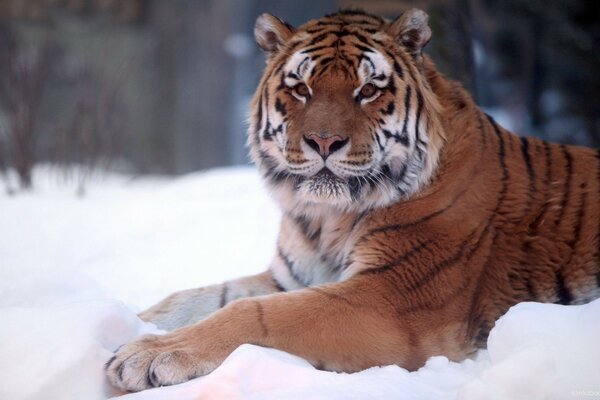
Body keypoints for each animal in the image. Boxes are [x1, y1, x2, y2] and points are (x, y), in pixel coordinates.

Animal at [104, 7, 600, 392]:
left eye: (369, 90)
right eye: (300, 88)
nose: (324, 141)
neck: (325, 219)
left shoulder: (389, 298)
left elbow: (254, 315)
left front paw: (145, 356)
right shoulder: (290, 277)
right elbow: (191, 299)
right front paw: (125, 326)